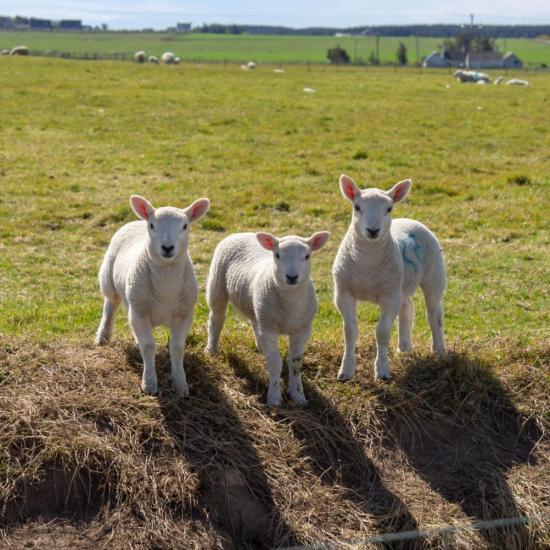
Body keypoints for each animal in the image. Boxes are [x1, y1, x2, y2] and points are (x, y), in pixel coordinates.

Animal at [96, 196, 210, 398]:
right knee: (110, 305)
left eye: (185, 226)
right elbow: (148, 346)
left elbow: (177, 348)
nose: (167, 247)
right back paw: (103, 336)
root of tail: (136, 221)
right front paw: (149, 383)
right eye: (152, 225)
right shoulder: (140, 313)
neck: (166, 287)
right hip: (109, 278)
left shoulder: (184, 315)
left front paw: (180, 384)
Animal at [206, 231, 330, 408]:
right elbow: (275, 363)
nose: (292, 277)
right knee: (216, 320)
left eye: (307, 256)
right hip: (217, 285)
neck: (290, 302)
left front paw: (298, 395)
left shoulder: (302, 330)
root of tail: (242, 232)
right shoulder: (269, 330)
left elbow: (296, 363)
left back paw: (260, 346)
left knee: (253, 322)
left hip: (257, 306)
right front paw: (274, 398)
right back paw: (211, 350)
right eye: (277, 255)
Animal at [332, 177, 448, 384]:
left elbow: (382, 332)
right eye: (357, 207)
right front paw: (346, 371)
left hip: (433, 275)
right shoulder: (343, 293)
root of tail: (410, 220)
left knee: (434, 314)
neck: (367, 265)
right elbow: (350, 331)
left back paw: (439, 352)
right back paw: (404, 347)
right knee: (408, 307)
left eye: (389, 208)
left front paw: (382, 371)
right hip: (399, 283)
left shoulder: (389, 297)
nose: (373, 230)